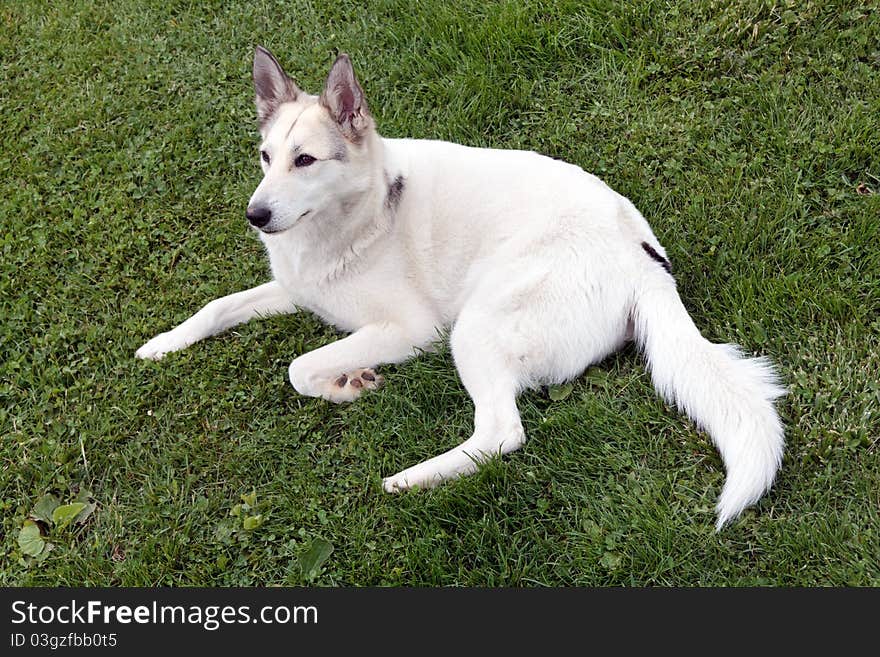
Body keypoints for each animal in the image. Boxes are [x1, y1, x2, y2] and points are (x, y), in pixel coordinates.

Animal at [138, 47, 784, 528]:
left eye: (305, 161)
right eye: (266, 157)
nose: (256, 216)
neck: (362, 209)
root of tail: (646, 260)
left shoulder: (410, 329)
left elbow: (299, 367)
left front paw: (346, 385)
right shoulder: (296, 289)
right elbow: (216, 307)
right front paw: (163, 343)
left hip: (473, 327)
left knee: (501, 433)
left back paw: (408, 480)